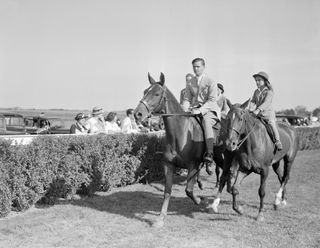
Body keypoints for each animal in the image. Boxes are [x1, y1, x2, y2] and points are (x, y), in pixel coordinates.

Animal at [134, 72, 226, 228]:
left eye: (156, 93)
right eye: (145, 91)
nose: (137, 114)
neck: (181, 133)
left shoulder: (193, 166)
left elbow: (188, 190)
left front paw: (199, 200)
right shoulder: (169, 165)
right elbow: (167, 191)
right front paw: (160, 218)